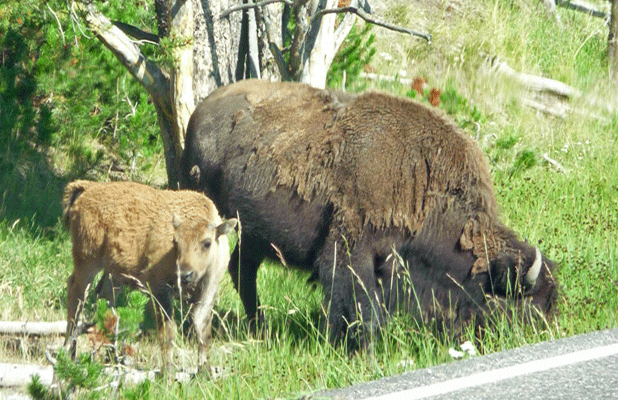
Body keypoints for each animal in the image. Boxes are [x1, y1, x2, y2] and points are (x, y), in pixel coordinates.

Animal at [62, 180, 236, 368]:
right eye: (176, 242)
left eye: (207, 242)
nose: (185, 275)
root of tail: (89, 187)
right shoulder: (160, 291)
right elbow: (168, 333)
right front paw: (167, 372)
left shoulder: (208, 291)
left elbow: (202, 330)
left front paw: (204, 371)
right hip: (87, 261)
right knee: (76, 295)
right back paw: (70, 352)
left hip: (113, 272)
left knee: (106, 297)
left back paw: (110, 353)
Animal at [179, 79, 560, 348]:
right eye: (526, 306)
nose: (537, 336)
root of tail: (199, 115)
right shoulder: (352, 249)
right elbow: (360, 301)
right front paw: (360, 347)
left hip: (256, 235)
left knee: (243, 270)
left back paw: (259, 326)